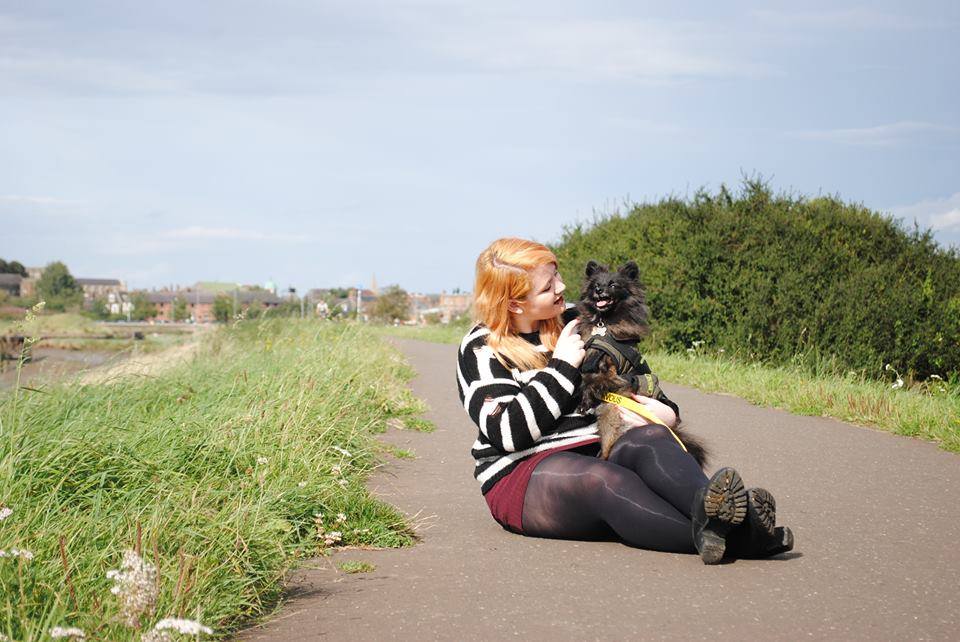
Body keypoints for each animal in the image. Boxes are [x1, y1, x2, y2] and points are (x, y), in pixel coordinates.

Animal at [572, 260, 708, 464]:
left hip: (612, 415)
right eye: (595, 284)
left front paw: (584, 401)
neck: (604, 324)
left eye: (613, 285)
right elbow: (585, 378)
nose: (599, 290)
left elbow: (591, 382)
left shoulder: (611, 372)